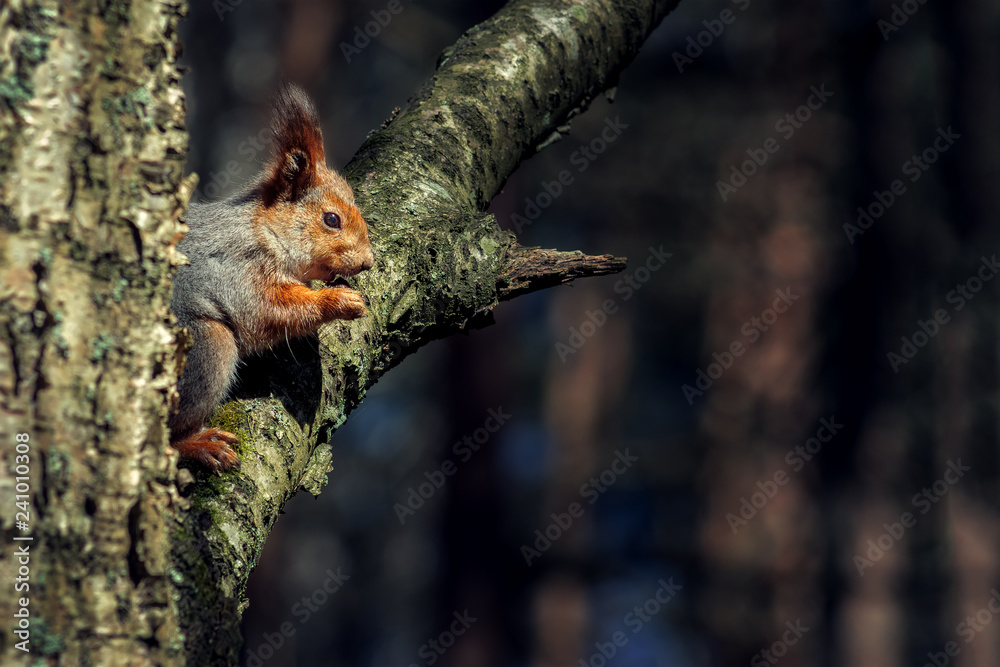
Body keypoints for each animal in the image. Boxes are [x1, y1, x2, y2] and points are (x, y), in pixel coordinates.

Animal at [168, 84, 374, 473]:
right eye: (332, 219)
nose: (368, 262)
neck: (263, 229)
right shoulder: (238, 270)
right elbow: (268, 310)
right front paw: (339, 300)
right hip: (207, 346)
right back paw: (199, 445)